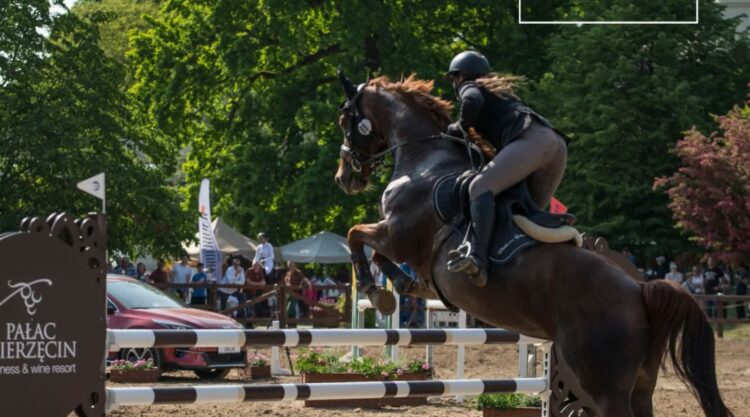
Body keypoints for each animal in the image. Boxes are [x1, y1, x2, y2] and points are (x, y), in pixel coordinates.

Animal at [333, 72, 731, 417]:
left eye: (345, 120)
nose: (344, 178)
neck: (425, 159)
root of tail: (640, 288)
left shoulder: (399, 234)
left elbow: (356, 235)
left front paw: (374, 288)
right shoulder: (398, 241)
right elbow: (376, 253)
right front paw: (396, 288)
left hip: (603, 383)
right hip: (639, 385)